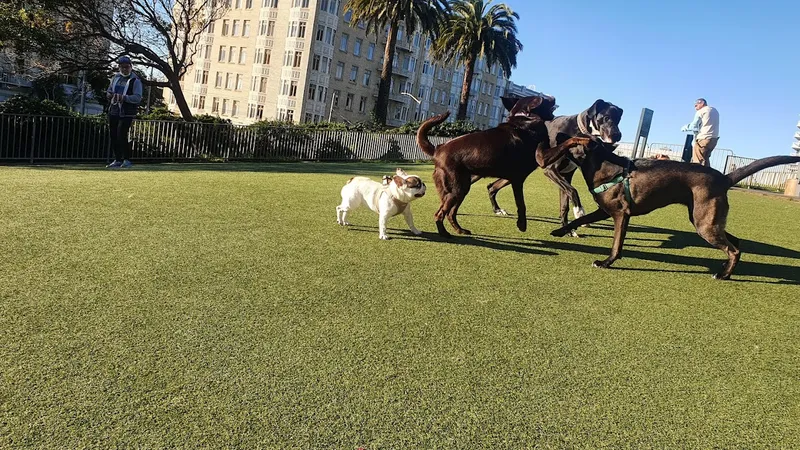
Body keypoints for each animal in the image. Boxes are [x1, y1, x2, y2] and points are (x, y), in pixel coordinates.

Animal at [412, 95, 592, 239]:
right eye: (545, 99)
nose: (553, 97)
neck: (525, 118)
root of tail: (438, 149)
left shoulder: (517, 176)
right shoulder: (540, 161)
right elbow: (521, 204)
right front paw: (522, 225)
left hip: (461, 188)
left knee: (450, 212)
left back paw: (460, 230)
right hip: (457, 188)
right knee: (440, 213)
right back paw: (444, 233)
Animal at [544, 142, 800, 282]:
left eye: (569, 144)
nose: (550, 150)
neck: (606, 166)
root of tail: (724, 178)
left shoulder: (620, 215)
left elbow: (616, 245)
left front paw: (607, 262)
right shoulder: (604, 211)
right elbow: (578, 220)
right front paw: (559, 231)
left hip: (705, 225)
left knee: (734, 249)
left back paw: (724, 275)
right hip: (707, 221)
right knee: (735, 242)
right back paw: (725, 270)